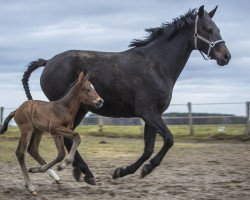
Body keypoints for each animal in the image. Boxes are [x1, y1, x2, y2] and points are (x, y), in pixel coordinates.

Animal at [21, 5, 230, 184]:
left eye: (217, 28)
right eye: (207, 29)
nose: (226, 56)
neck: (157, 65)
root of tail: (48, 61)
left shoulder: (153, 114)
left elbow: (148, 148)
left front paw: (124, 171)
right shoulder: (147, 111)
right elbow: (169, 139)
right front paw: (142, 169)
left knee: (68, 138)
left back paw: (80, 172)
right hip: (72, 109)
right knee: (67, 138)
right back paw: (86, 173)